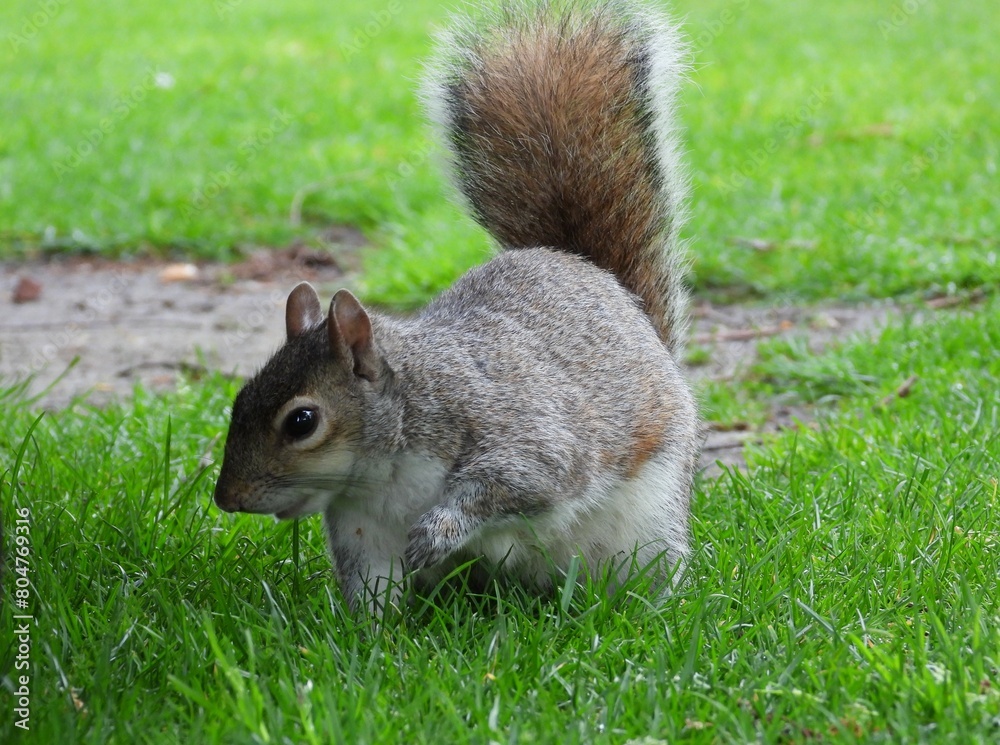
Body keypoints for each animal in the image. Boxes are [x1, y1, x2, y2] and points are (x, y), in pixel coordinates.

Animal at [214, 0, 698, 612]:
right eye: (238, 398)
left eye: (302, 421)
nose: (227, 497)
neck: (384, 471)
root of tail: (606, 284)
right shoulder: (363, 526)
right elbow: (373, 588)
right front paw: (357, 633)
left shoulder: (517, 437)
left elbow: (519, 483)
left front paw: (437, 532)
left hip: (646, 529)